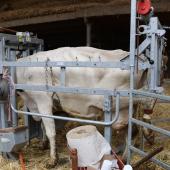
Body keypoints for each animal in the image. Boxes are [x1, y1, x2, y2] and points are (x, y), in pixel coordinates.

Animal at [15, 46, 153, 167]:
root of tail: (140, 57)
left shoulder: (43, 100)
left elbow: (50, 131)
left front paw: (53, 159)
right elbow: (43, 126)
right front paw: (43, 144)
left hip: (121, 104)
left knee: (139, 117)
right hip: (128, 110)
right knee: (133, 130)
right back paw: (125, 157)